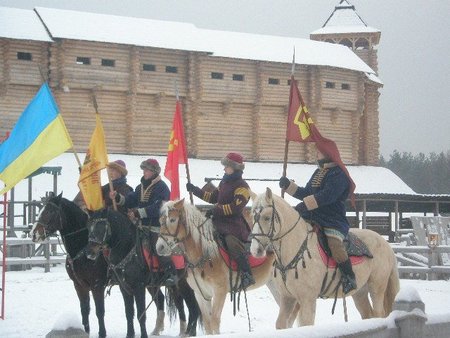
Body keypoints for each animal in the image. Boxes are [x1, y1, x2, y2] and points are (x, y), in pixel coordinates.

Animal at [31, 194, 109, 338]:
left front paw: (102, 333)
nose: (34, 234)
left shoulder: (97, 285)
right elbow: (85, 310)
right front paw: (85, 331)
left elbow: (99, 311)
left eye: (50, 211)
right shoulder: (79, 285)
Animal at [250, 187, 400, 328]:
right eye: (252, 216)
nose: (255, 250)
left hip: (377, 288)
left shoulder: (307, 300)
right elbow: (281, 324)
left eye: (266, 217)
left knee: (378, 314)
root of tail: (386, 244)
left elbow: (306, 324)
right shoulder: (287, 298)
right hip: (360, 292)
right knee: (368, 315)